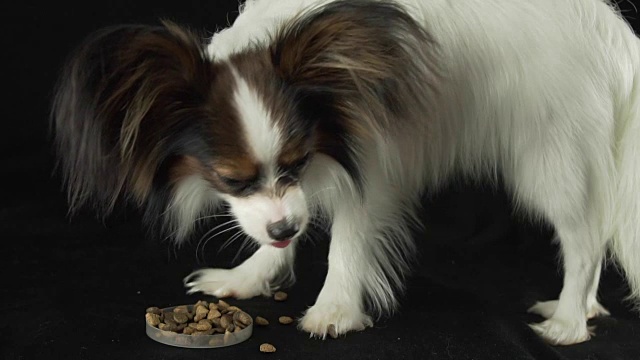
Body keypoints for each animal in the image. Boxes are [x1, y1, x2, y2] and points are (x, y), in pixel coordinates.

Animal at [52, 0, 640, 344]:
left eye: (298, 160)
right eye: (233, 179)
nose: (285, 227)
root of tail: (610, 31)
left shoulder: (368, 171)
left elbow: (347, 244)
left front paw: (333, 310)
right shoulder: (291, 196)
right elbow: (273, 234)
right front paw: (249, 277)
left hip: (550, 161)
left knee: (585, 239)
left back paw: (568, 322)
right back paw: (584, 310)